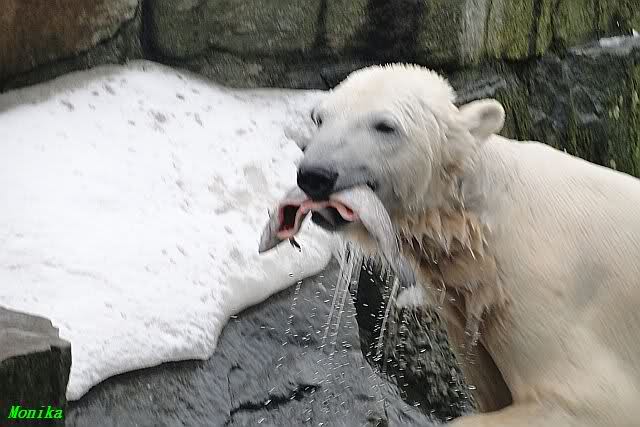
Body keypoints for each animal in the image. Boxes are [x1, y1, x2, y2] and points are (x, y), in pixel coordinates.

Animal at [260, 63, 640, 426]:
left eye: (385, 126)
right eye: (319, 117)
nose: (315, 175)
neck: (477, 221)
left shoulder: (545, 290)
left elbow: (585, 400)